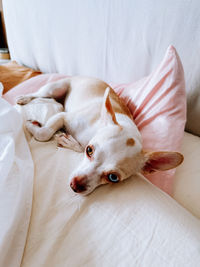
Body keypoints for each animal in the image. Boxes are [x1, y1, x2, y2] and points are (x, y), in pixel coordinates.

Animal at [17, 76, 183, 196]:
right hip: (55, 89)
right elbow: (44, 134)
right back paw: (24, 98)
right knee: (39, 94)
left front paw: (69, 141)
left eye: (113, 178)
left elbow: (74, 145)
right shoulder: (64, 117)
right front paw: (31, 125)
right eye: (89, 151)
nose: (76, 185)